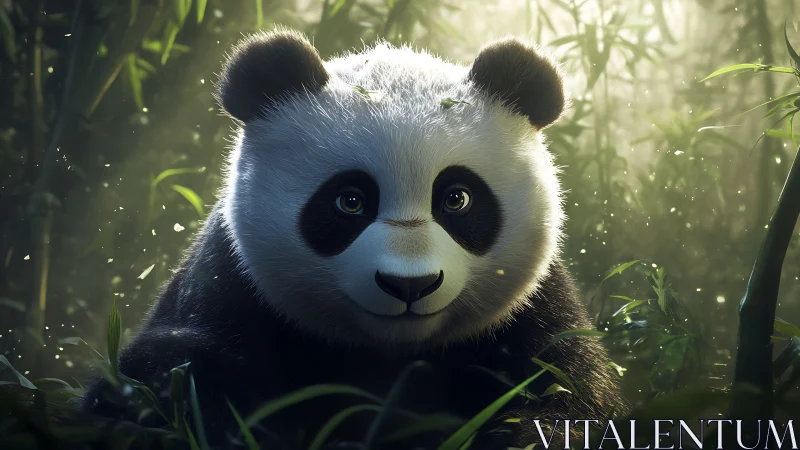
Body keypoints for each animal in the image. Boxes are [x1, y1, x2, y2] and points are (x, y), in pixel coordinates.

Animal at [81, 28, 624, 449]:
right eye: (350, 201)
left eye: (457, 199)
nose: (409, 285)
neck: (390, 352)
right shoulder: (232, 284)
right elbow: (160, 378)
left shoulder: (531, 310)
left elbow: (570, 388)